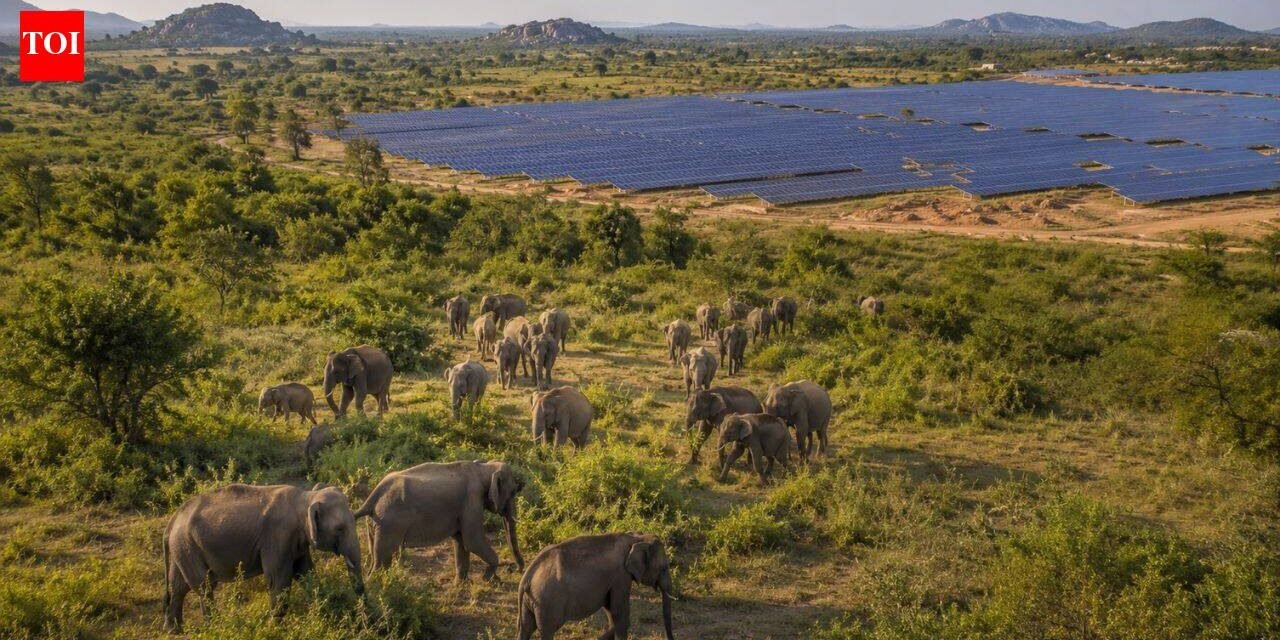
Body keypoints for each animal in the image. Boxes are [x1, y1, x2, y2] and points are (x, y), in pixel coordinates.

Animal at [163, 483, 363, 632]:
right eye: (339, 529)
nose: (362, 618)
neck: (305, 497)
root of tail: (173, 519)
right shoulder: (277, 538)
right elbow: (278, 580)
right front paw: (276, 629)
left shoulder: (297, 542)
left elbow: (306, 573)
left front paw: (323, 613)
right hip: (187, 546)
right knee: (204, 587)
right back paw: (215, 627)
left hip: (182, 548)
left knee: (178, 586)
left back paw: (173, 630)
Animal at [354, 460, 524, 579]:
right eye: (513, 492)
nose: (514, 569)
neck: (483, 467)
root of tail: (374, 494)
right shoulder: (472, 500)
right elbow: (472, 540)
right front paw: (487, 578)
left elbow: (461, 541)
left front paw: (461, 584)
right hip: (390, 522)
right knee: (382, 560)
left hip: (376, 522)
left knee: (374, 555)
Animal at [517, 532, 675, 640]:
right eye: (664, 568)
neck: (636, 538)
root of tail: (527, 575)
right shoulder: (620, 577)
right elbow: (619, 613)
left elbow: (611, 611)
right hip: (547, 601)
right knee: (547, 631)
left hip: (530, 601)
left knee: (525, 629)